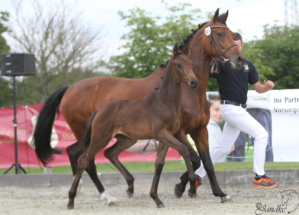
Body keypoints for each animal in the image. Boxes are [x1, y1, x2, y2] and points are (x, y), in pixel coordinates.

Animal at [68, 44, 199, 208]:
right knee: (84, 162)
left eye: (191, 63)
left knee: (109, 153)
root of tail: (99, 110)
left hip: (127, 139)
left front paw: (156, 199)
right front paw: (192, 185)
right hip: (99, 139)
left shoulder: (165, 138)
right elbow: (184, 150)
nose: (194, 82)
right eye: (179, 64)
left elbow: (159, 164)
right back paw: (71, 200)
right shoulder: (162, 134)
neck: (165, 102)